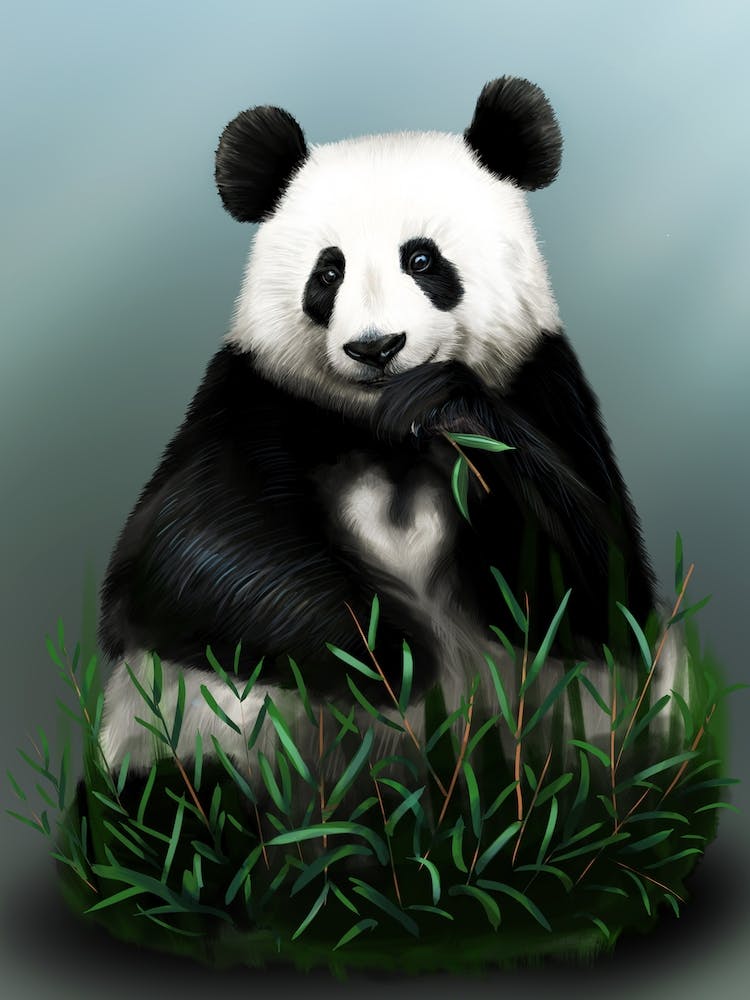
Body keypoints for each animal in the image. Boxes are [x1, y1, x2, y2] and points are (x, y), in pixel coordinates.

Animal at [96, 76, 683, 792]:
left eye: (423, 259)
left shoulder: (544, 387)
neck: (379, 427)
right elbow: (183, 553)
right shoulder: (248, 398)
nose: (376, 348)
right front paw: (393, 657)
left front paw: (443, 404)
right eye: (328, 273)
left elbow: (598, 597)